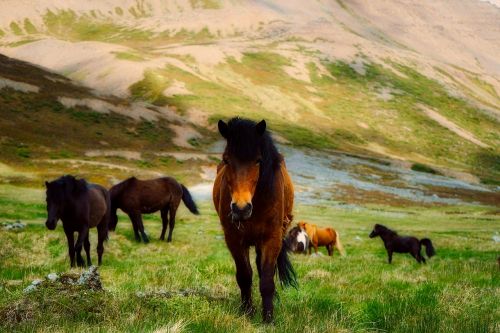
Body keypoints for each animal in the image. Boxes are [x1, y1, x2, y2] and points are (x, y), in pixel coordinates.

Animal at [212, 116, 296, 322]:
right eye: (226, 160)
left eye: (258, 161)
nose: (241, 209)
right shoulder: (235, 239)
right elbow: (244, 276)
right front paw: (247, 312)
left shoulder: (271, 239)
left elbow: (266, 280)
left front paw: (268, 319)